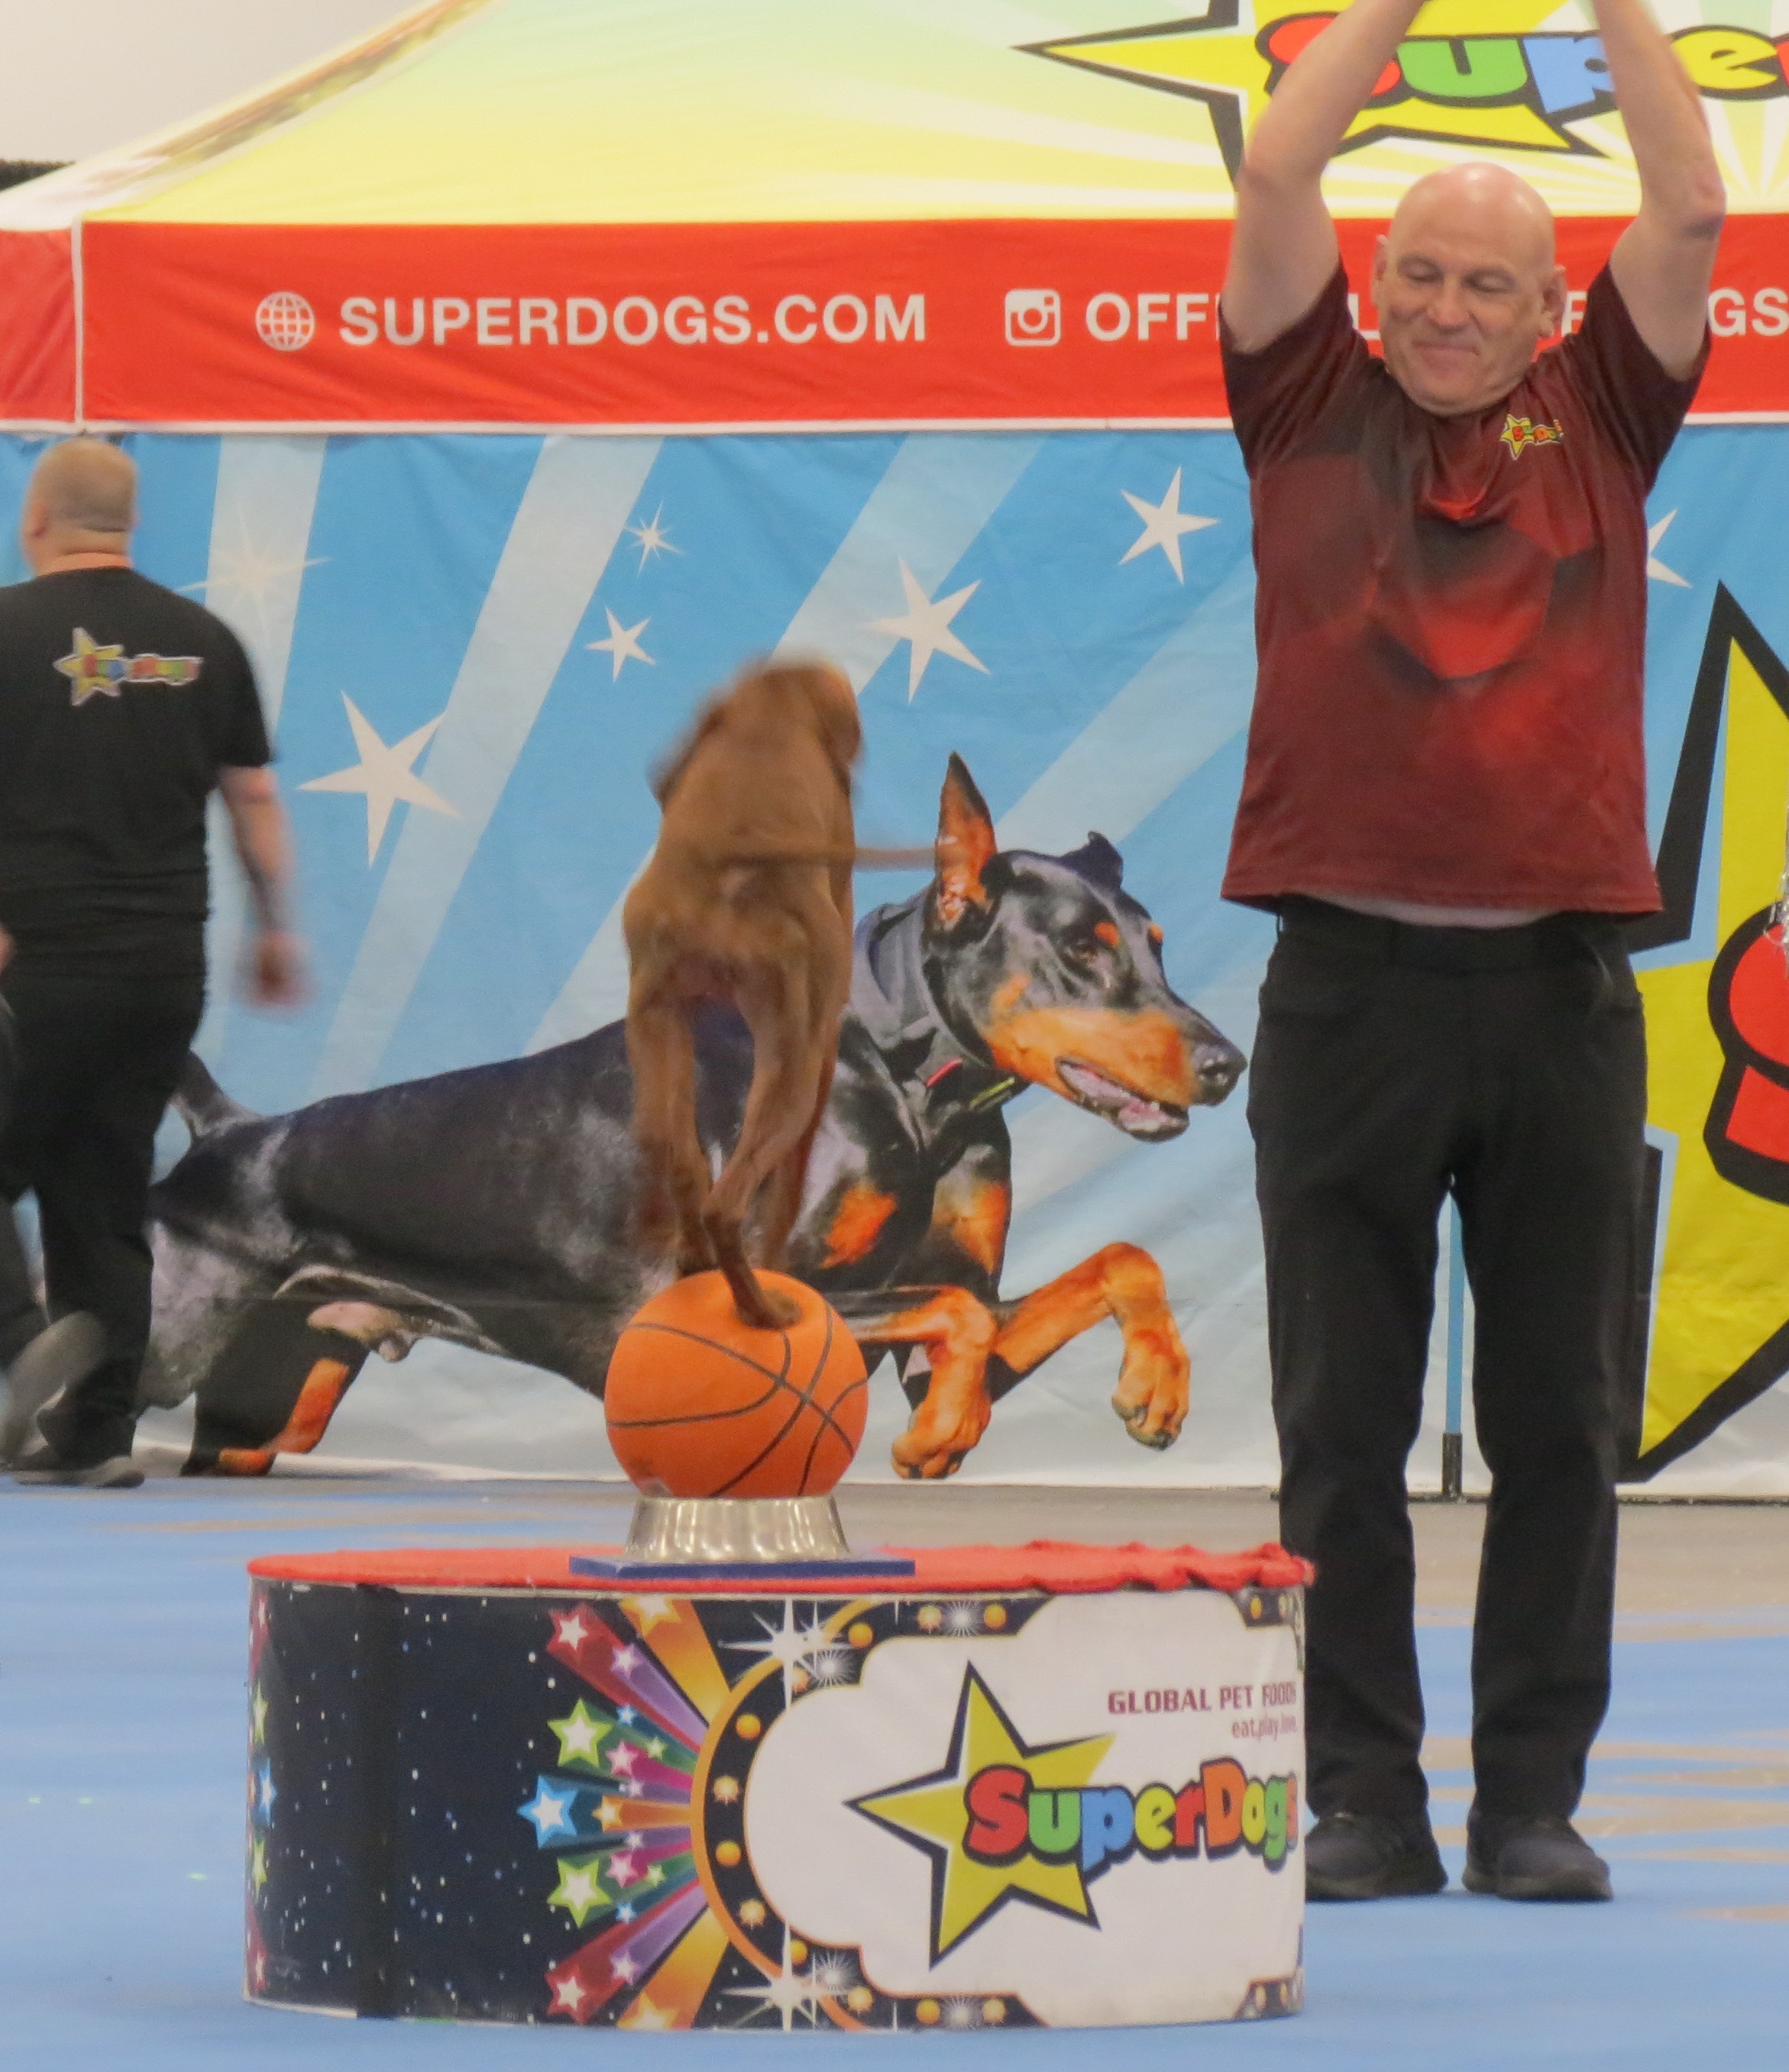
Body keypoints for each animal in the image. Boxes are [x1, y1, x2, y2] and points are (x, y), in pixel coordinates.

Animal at [143, 756, 1243, 1479]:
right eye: (1081, 946)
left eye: (1155, 944)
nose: (1228, 1065)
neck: (911, 1092)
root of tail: (230, 1130)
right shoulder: (762, 1299)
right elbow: (959, 1312)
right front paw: (938, 1440)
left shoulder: (929, 1321)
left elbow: (1108, 1265)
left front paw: (1154, 1387)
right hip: (173, 1349)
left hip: (271, 1404)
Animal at [625, 659, 860, 1329]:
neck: (768, 711)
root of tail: (724, 855)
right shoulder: (823, 1052)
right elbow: (787, 1194)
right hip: (791, 1069)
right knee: (727, 1205)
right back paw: (765, 1308)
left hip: (652, 1019)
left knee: (674, 1153)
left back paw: (690, 1255)